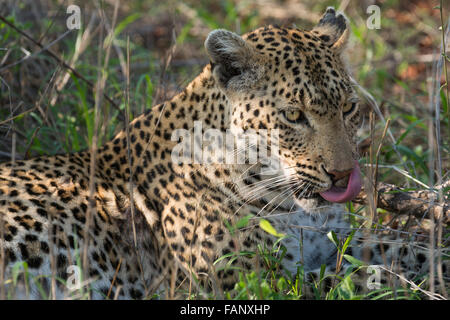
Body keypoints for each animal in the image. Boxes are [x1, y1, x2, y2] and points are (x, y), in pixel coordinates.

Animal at [0, 6, 448, 298]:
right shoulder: (246, 281)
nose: (342, 176)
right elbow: (354, 278)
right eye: (293, 115)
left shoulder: (336, 241)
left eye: (349, 108)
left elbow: (403, 248)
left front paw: (437, 265)